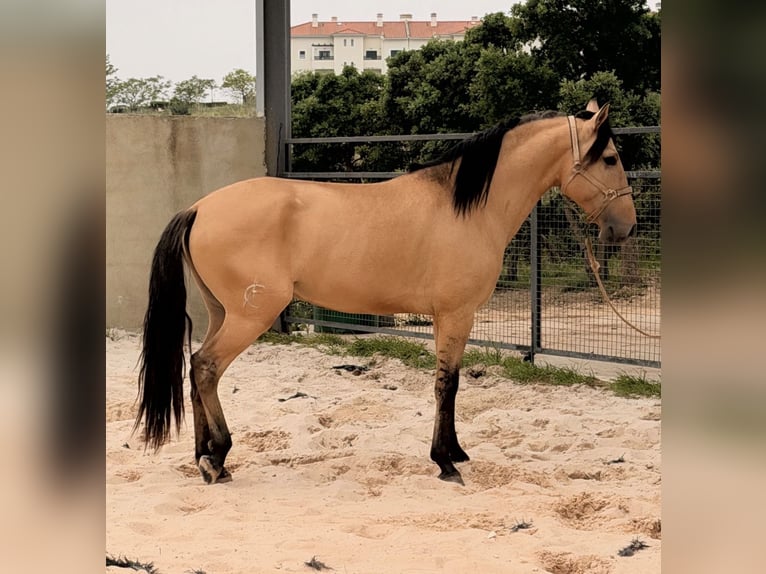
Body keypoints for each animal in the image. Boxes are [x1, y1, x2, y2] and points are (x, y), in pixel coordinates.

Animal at [134, 99, 636, 485]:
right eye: (610, 158)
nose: (626, 227)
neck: (468, 209)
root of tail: (199, 208)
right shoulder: (456, 315)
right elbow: (447, 384)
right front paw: (445, 461)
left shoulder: (451, 318)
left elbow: (450, 384)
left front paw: (455, 451)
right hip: (249, 316)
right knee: (206, 368)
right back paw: (216, 458)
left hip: (223, 312)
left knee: (196, 369)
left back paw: (206, 456)